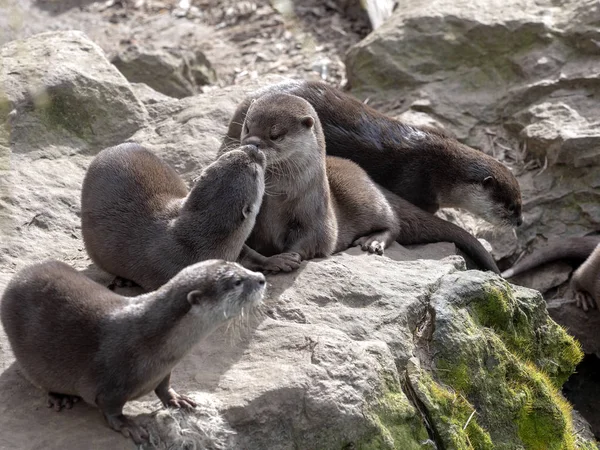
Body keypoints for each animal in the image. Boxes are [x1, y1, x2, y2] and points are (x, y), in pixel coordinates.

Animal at [1, 256, 266, 442]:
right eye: (237, 282)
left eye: (241, 266)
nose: (262, 278)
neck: (152, 342)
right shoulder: (111, 382)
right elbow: (110, 408)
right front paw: (127, 425)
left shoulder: (164, 370)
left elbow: (163, 386)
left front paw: (176, 399)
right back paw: (60, 397)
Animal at [82, 142, 300, 290]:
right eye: (255, 172)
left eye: (226, 156)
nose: (253, 147)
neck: (198, 244)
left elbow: (252, 254)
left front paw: (279, 260)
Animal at [220, 92, 502, 274]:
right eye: (247, 126)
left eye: (275, 134)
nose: (251, 144)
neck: (280, 199)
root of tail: (372, 180)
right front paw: (274, 260)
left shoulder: (316, 217)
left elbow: (313, 241)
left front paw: (289, 257)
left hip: (367, 199)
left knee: (394, 224)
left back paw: (373, 242)